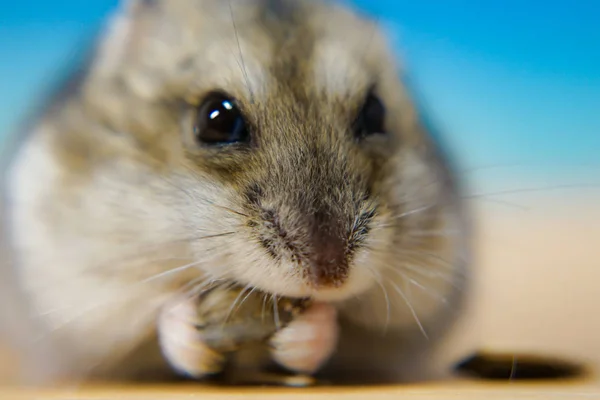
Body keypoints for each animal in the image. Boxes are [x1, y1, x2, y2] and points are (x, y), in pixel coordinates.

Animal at [0, 0, 472, 386]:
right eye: (217, 119)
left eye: (375, 113)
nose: (329, 276)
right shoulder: (80, 289)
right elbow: (155, 315)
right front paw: (190, 333)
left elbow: (344, 328)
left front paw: (302, 334)